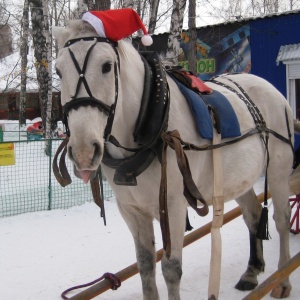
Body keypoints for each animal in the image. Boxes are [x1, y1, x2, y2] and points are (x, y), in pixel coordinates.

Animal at [52, 19, 296, 298]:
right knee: (253, 216)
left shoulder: (173, 207)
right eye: (58, 71)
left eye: (107, 66)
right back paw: (252, 271)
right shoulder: (131, 210)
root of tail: (272, 90)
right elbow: (145, 264)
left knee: (281, 219)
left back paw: (283, 279)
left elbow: (171, 269)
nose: (83, 151)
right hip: (236, 179)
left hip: (278, 170)